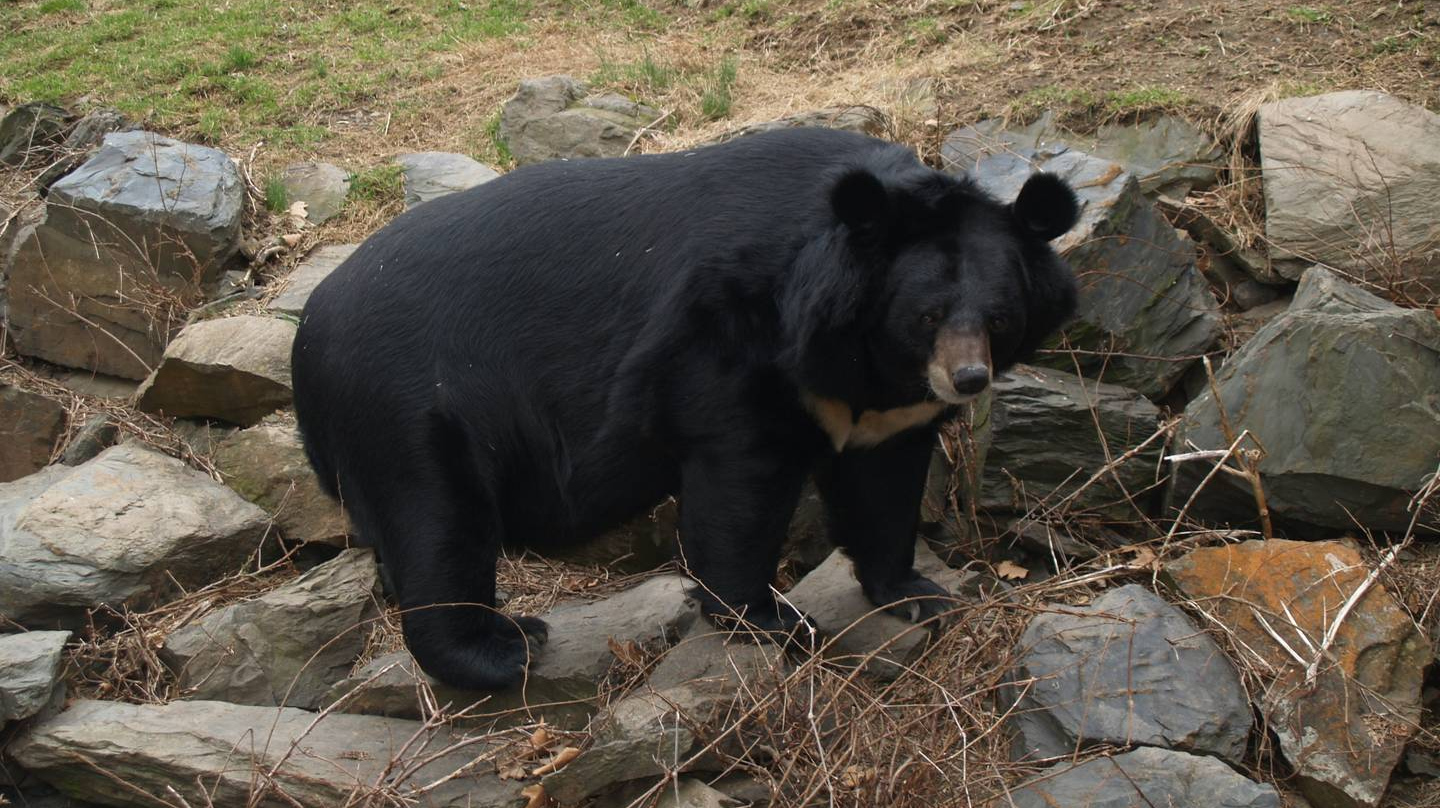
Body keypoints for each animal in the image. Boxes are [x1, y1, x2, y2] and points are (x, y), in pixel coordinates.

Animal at [292, 126, 1082, 685]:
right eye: (927, 315)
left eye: (1001, 315)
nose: (968, 379)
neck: (859, 354)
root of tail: (308, 327)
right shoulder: (726, 342)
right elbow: (739, 489)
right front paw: (774, 619)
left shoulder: (885, 412)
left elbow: (882, 490)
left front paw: (919, 592)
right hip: (410, 408)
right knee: (438, 524)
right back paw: (505, 647)